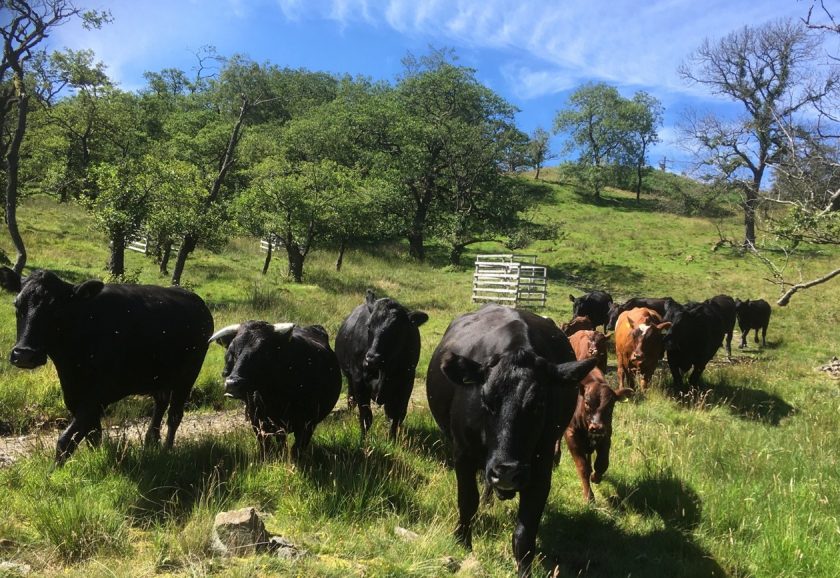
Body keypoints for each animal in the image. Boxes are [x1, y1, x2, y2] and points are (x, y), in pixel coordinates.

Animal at [0, 266, 213, 464]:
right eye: (17, 305)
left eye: (56, 310)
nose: (24, 354)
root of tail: (196, 300)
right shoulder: (74, 393)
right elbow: (93, 435)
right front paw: (97, 459)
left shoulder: (99, 393)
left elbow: (66, 440)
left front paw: (53, 474)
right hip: (160, 376)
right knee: (160, 405)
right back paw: (150, 443)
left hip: (188, 375)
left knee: (174, 415)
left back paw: (166, 451)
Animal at [210, 320, 342, 454]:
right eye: (232, 351)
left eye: (263, 352)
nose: (232, 383)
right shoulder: (257, 421)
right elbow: (267, 446)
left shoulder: (307, 424)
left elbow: (296, 450)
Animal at [334, 288, 426, 436]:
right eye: (369, 326)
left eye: (397, 330)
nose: (372, 358)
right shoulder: (359, 379)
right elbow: (366, 417)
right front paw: (364, 440)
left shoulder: (406, 381)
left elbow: (396, 416)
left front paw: (392, 439)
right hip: (350, 378)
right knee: (351, 399)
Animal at [426, 304, 596, 572]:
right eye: (485, 400)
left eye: (539, 404)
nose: (507, 472)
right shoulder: (462, 453)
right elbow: (467, 501)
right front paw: (463, 543)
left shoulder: (541, 464)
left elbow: (525, 531)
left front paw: (524, 569)